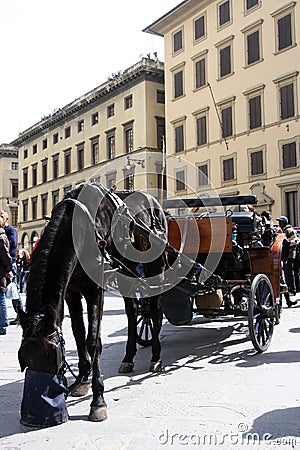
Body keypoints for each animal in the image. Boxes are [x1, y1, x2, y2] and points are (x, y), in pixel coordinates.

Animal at [18, 181, 169, 420]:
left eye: (53, 358)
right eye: (24, 359)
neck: (79, 227)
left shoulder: (95, 290)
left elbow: (93, 341)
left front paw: (98, 400)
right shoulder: (71, 292)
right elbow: (79, 335)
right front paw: (81, 380)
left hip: (156, 266)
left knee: (154, 310)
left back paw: (156, 357)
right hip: (127, 272)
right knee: (132, 310)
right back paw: (128, 357)